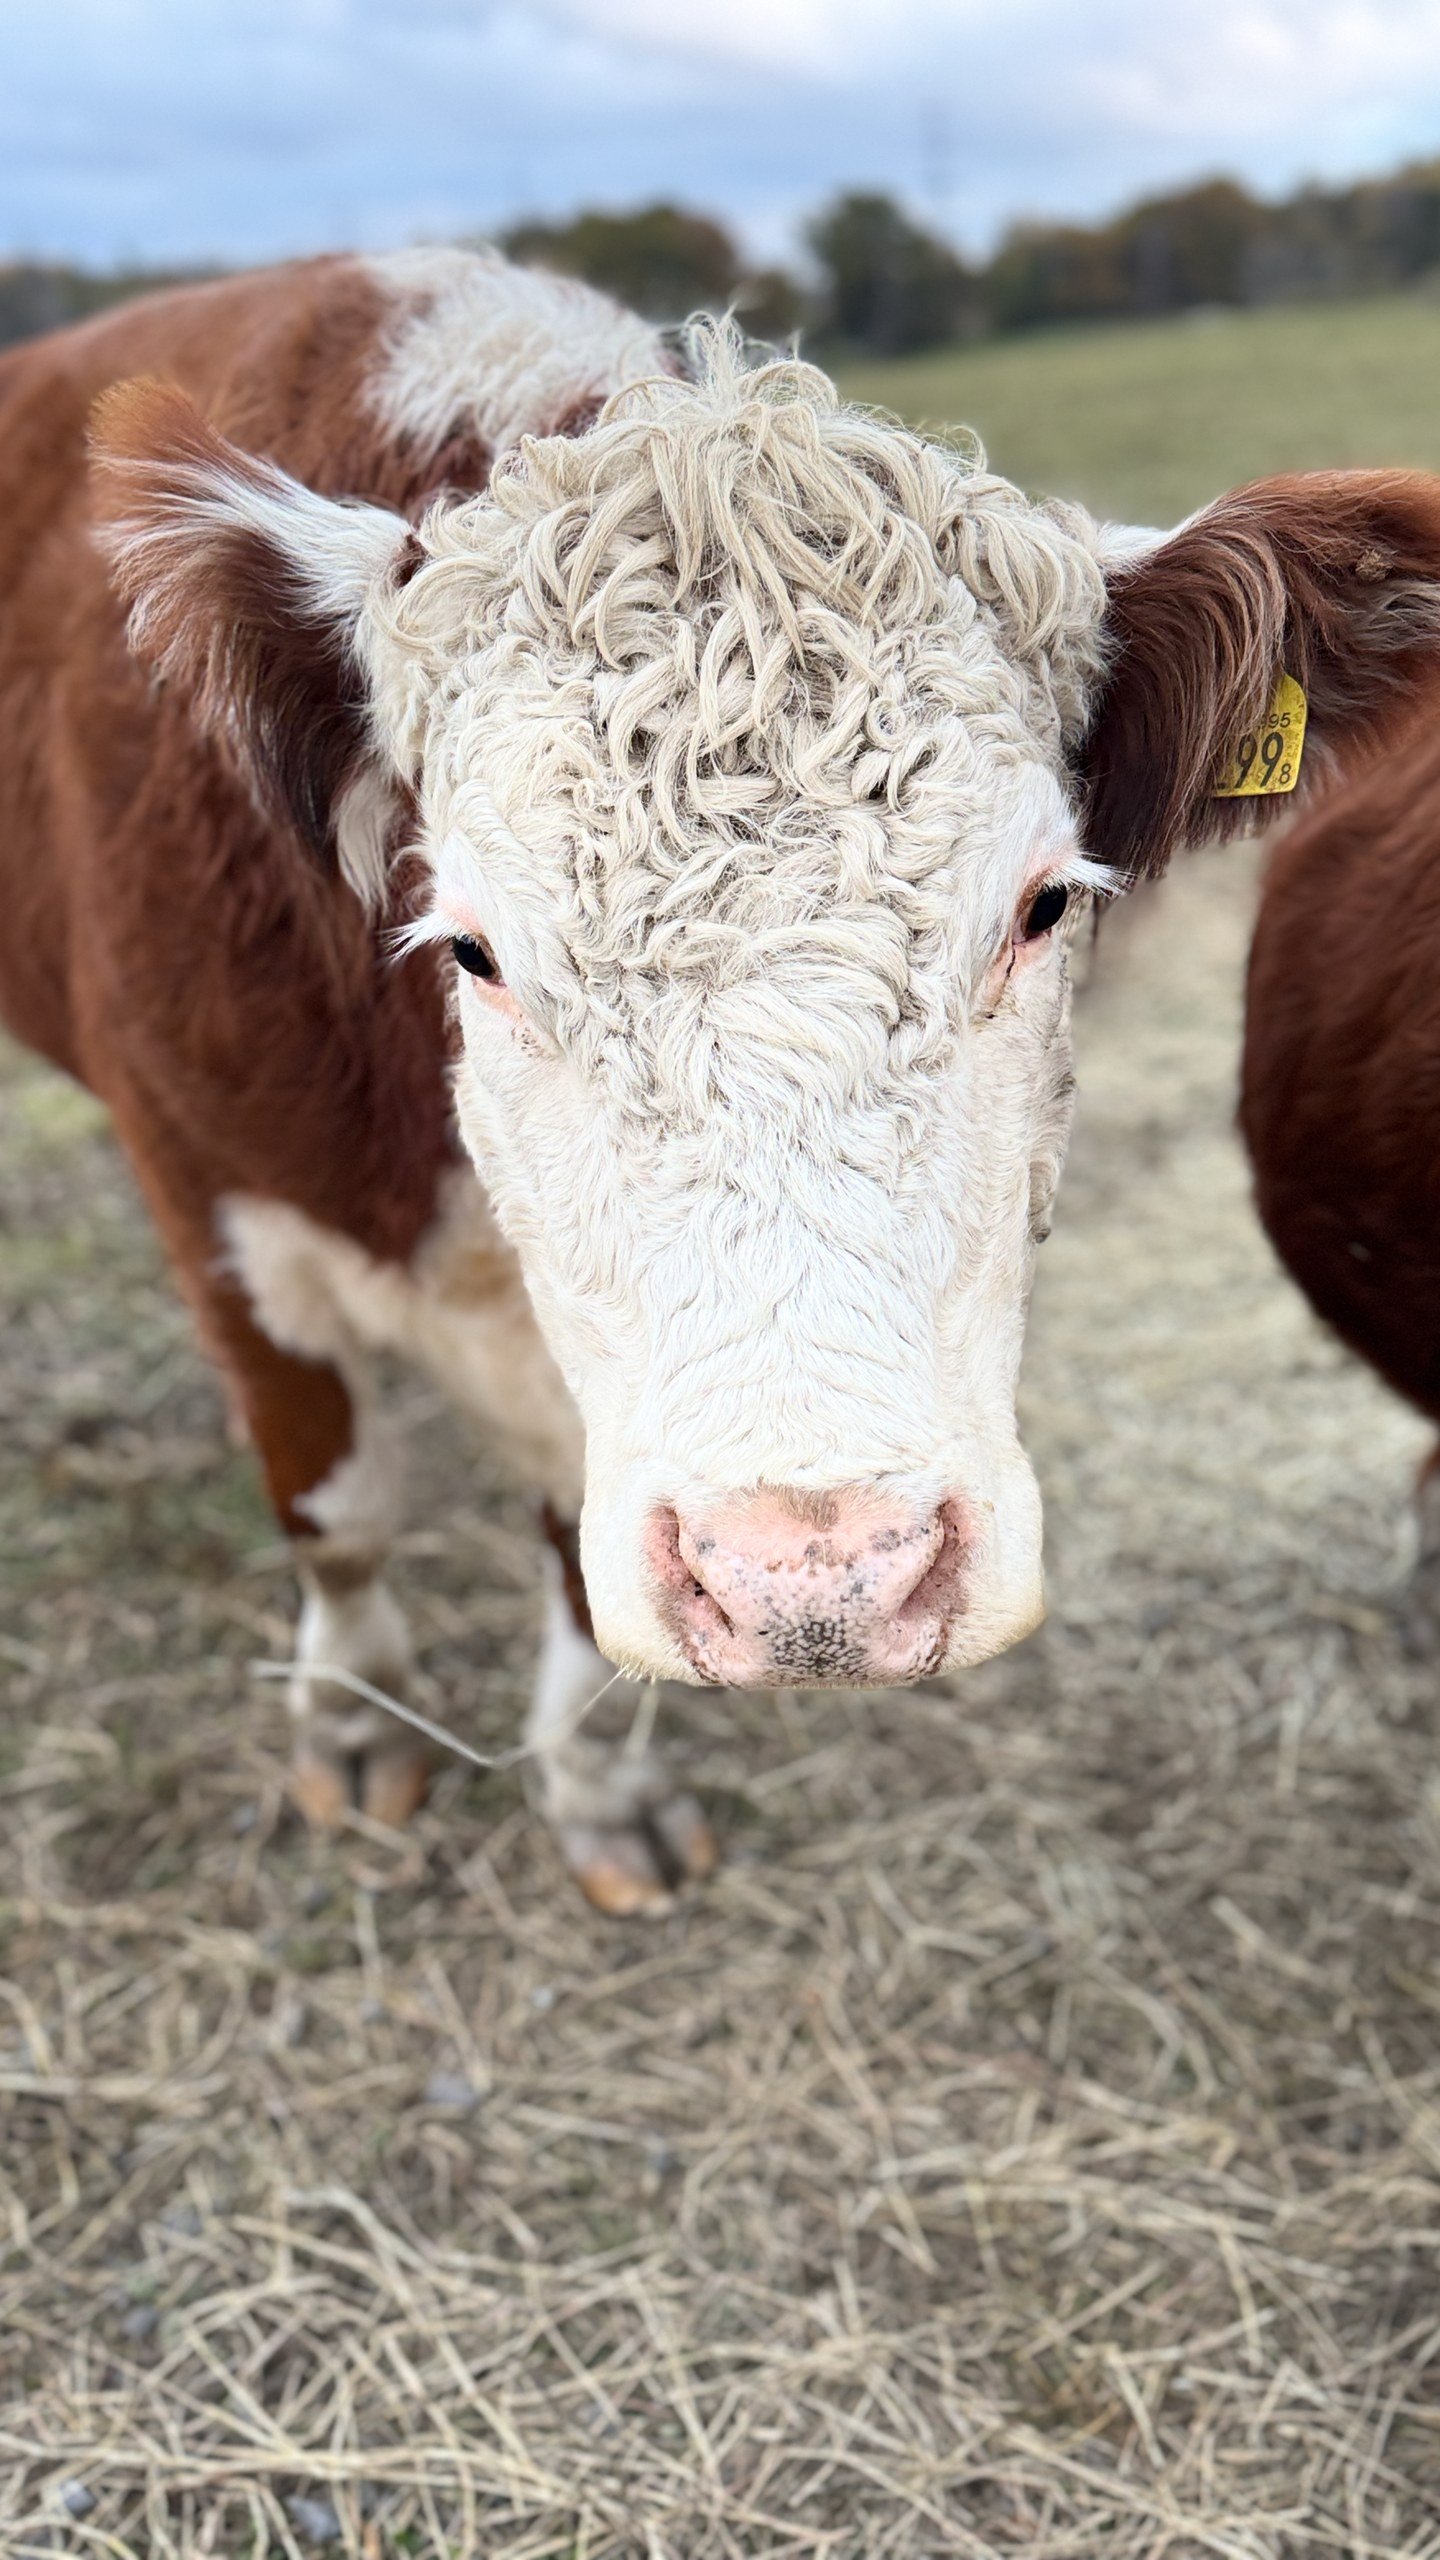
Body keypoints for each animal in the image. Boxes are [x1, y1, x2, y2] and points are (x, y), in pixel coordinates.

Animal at [5, 246, 1440, 1911]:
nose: (818, 1580)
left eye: (1042, 906)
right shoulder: (207, 1188)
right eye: (474, 949)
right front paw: (357, 1723)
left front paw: (597, 1787)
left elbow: (575, 1556)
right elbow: (338, 1503)